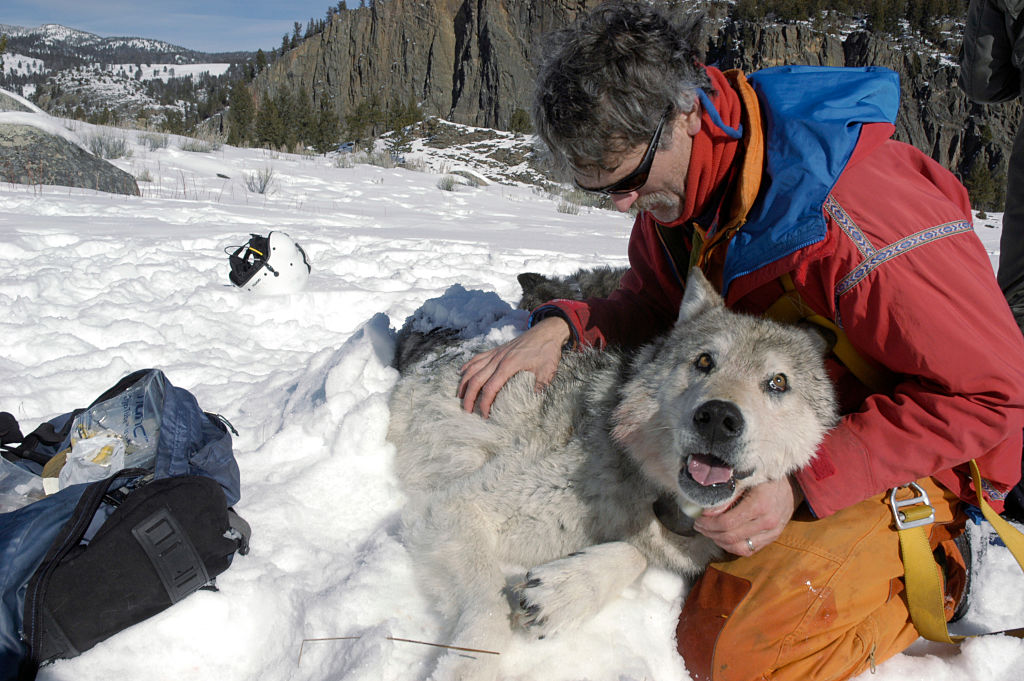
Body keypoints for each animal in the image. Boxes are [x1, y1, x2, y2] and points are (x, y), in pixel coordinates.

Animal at [387, 269, 838, 681]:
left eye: (777, 382)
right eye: (704, 361)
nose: (718, 418)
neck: (653, 490)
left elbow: (636, 553)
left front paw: (567, 589)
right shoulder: (454, 506)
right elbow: (488, 609)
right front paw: (468, 667)